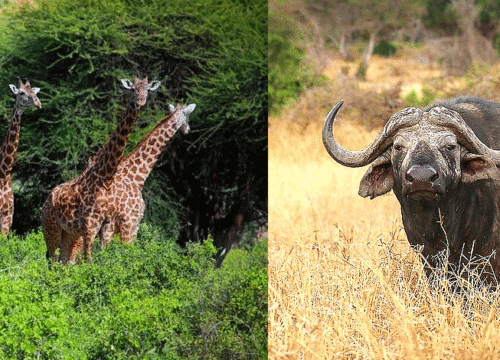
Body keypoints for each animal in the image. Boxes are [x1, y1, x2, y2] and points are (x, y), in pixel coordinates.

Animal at [43, 76, 161, 262]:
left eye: (147, 90)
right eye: (133, 89)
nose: (140, 101)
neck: (104, 177)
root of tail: (46, 200)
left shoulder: (104, 223)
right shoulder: (90, 224)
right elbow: (89, 260)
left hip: (68, 233)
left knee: (63, 260)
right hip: (51, 227)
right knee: (52, 259)